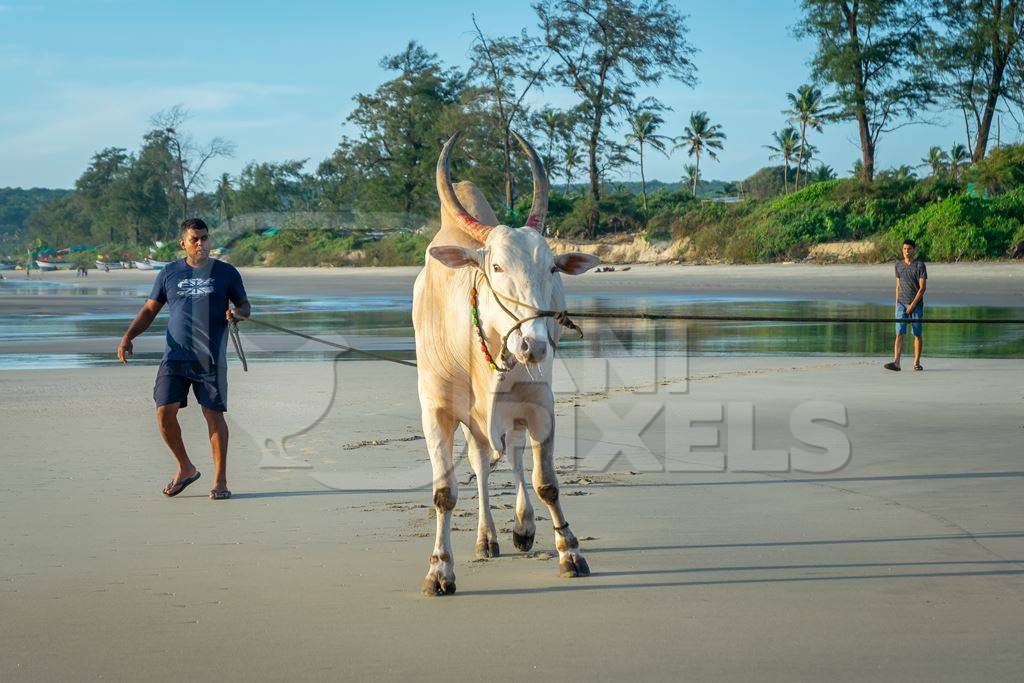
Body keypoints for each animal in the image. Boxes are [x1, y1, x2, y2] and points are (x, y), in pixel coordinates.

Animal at [409, 131, 598, 593]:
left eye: (552, 268)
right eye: (495, 267)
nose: (534, 346)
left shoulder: (540, 405)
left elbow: (546, 483)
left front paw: (569, 551)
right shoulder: (436, 412)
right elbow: (445, 492)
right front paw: (440, 570)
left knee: (511, 455)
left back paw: (523, 528)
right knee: (481, 464)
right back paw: (487, 538)